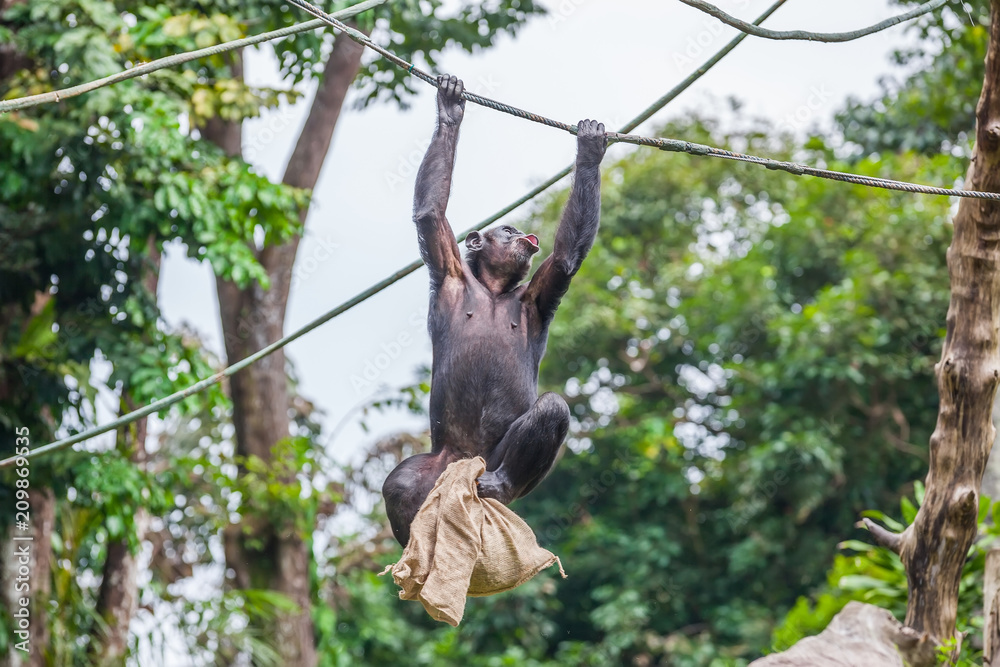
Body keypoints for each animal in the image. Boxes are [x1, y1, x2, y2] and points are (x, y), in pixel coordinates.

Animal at [382, 74, 607, 547]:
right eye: (507, 228)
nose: (522, 233)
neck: (494, 287)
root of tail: (470, 464)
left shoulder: (540, 291)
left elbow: (565, 258)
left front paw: (590, 148)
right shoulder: (447, 267)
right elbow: (430, 214)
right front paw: (450, 110)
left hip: (494, 464)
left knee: (552, 410)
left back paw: (499, 488)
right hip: (441, 463)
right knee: (402, 482)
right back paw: (415, 543)